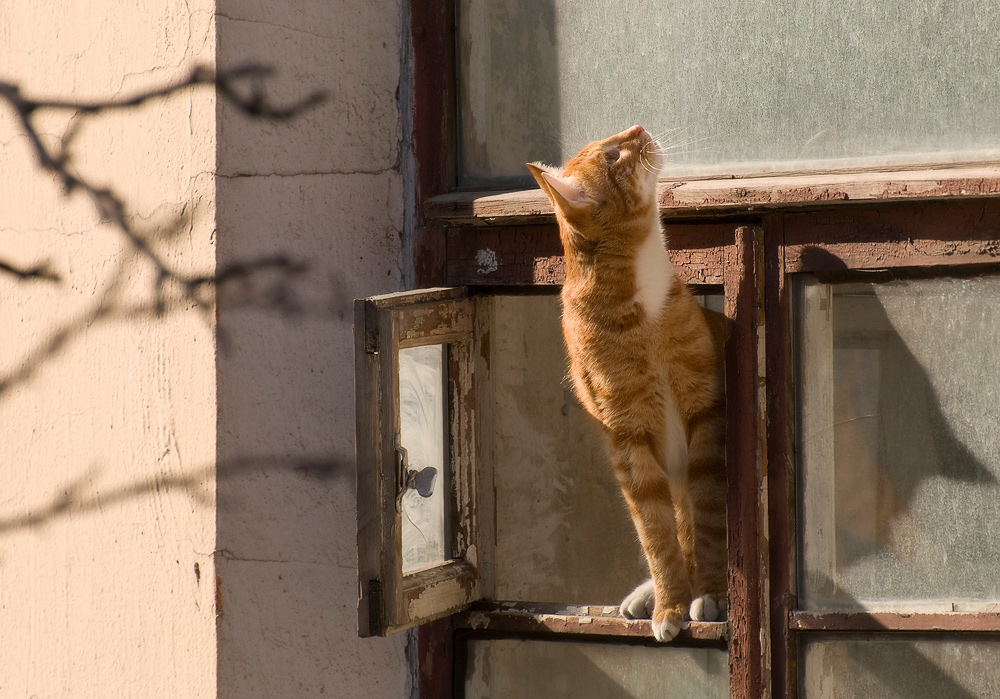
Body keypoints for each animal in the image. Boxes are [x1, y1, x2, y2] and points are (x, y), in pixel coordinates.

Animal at [524, 127, 728, 644]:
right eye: (612, 155)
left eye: (616, 142)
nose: (639, 130)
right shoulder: (628, 439)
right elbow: (656, 533)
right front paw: (671, 602)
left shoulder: (706, 412)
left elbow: (707, 517)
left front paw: (711, 592)